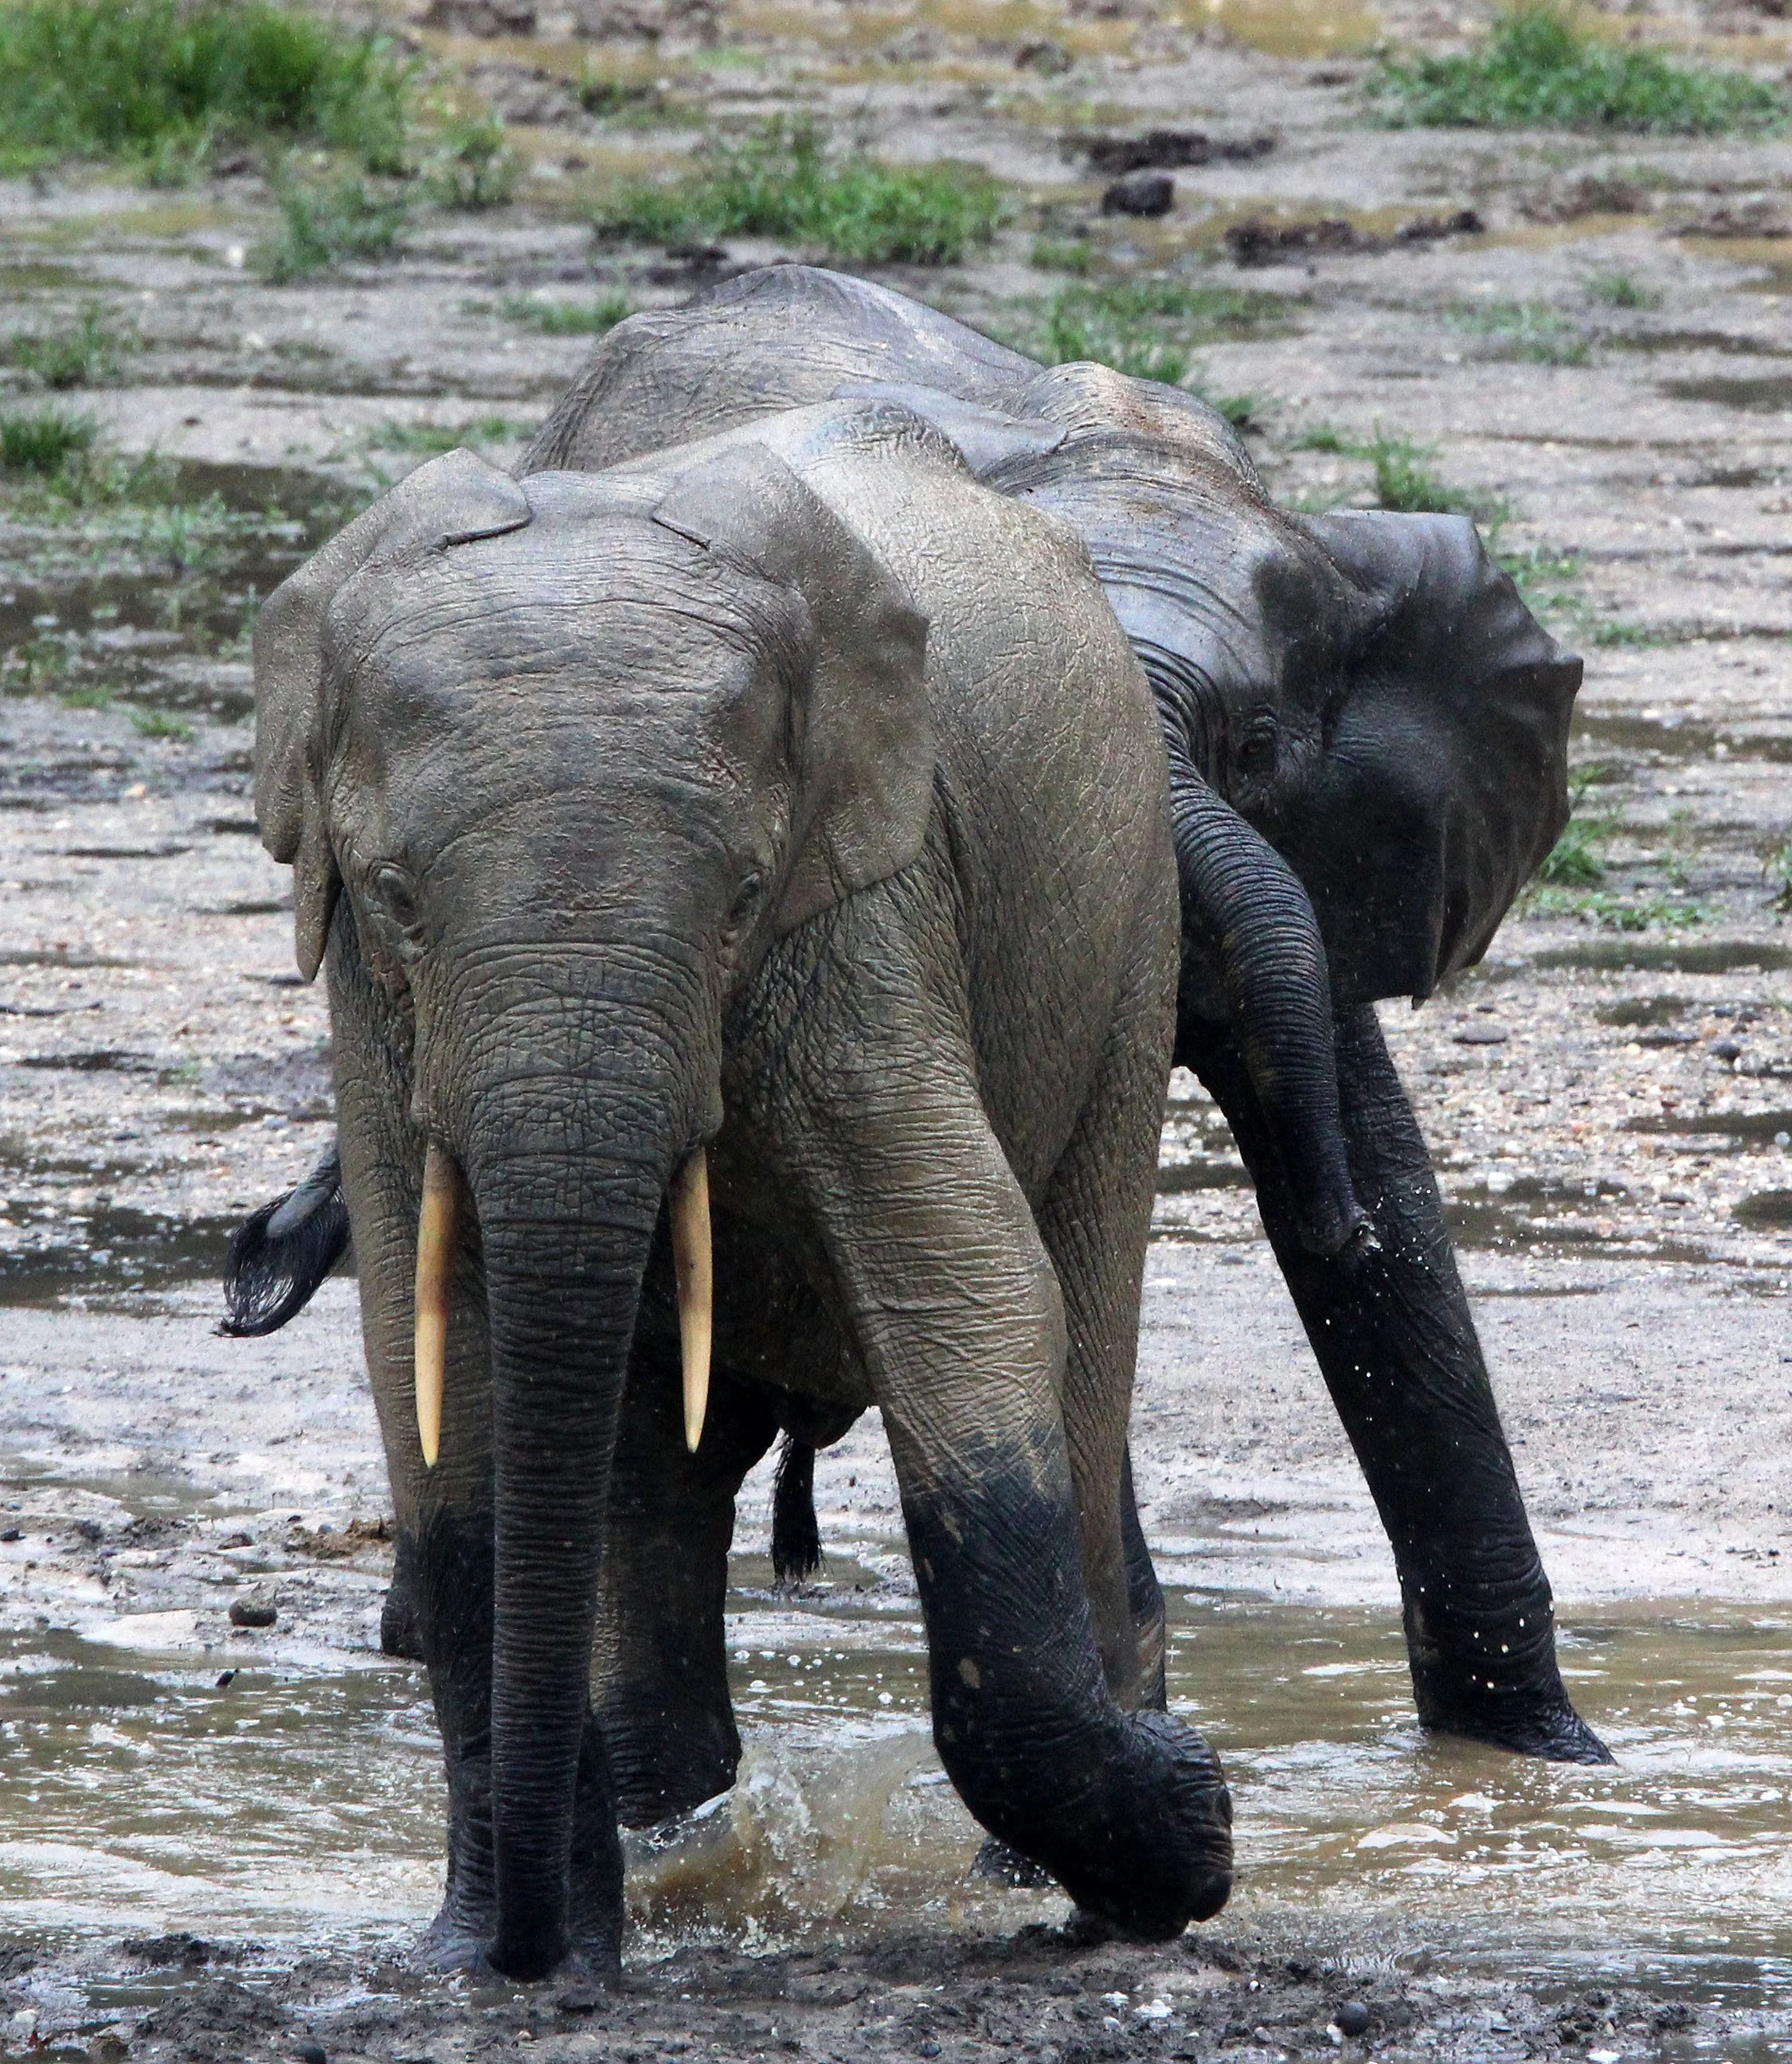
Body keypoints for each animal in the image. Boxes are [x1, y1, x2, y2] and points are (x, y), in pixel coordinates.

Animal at [247, 397, 1235, 1980]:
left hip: (1127, 920)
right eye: (398, 898)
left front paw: (1189, 1835)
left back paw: (1060, 1879)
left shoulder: (874, 903)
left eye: (739, 898)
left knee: (1084, 1329)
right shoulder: (371, 1005)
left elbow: (967, 1282)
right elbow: (425, 1352)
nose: (528, 1953)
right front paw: (487, 1958)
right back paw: (678, 1848)